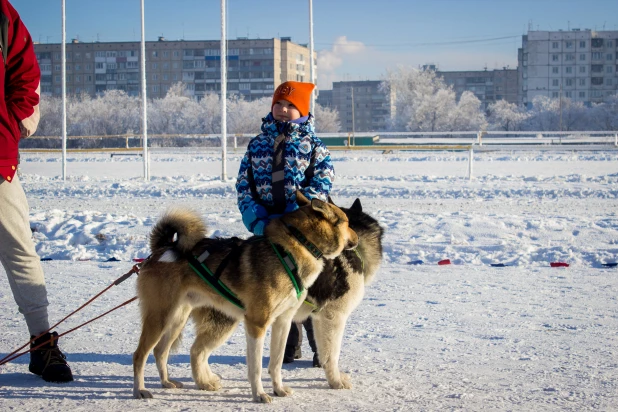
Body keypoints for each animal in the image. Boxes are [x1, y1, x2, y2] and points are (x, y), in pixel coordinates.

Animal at [132, 192, 358, 402]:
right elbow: (256, 367)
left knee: (160, 352)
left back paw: (166, 382)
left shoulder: (283, 322)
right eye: (347, 222)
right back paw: (140, 390)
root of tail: (162, 249)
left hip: (176, 320)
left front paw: (278, 389)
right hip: (160, 318)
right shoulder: (257, 323)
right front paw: (259, 395)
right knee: (140, 355)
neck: (296, 246)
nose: (357, 238)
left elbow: (276, 363)